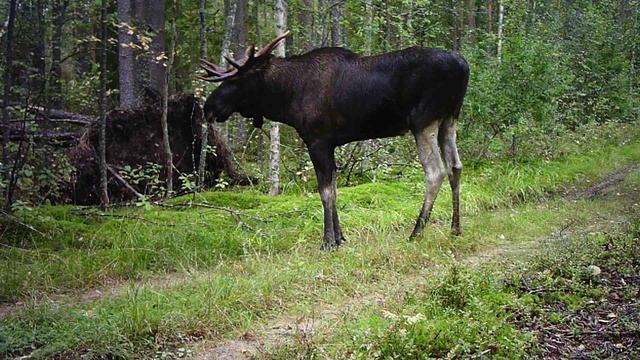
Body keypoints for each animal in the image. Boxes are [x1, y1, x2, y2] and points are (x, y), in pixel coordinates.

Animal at [199, 31, 470, 250]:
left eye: (235, 80)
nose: (208, 107)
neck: (287, 97)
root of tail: (464, 66)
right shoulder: (330, 145)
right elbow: (336, 190)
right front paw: (340, 238)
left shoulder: (318, 141)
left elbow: (325, 191)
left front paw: (328, 241)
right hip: (449, 120)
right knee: (456, 167)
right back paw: (455, 228)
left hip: (423, 121)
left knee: (435, 171)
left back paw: (416, 232)